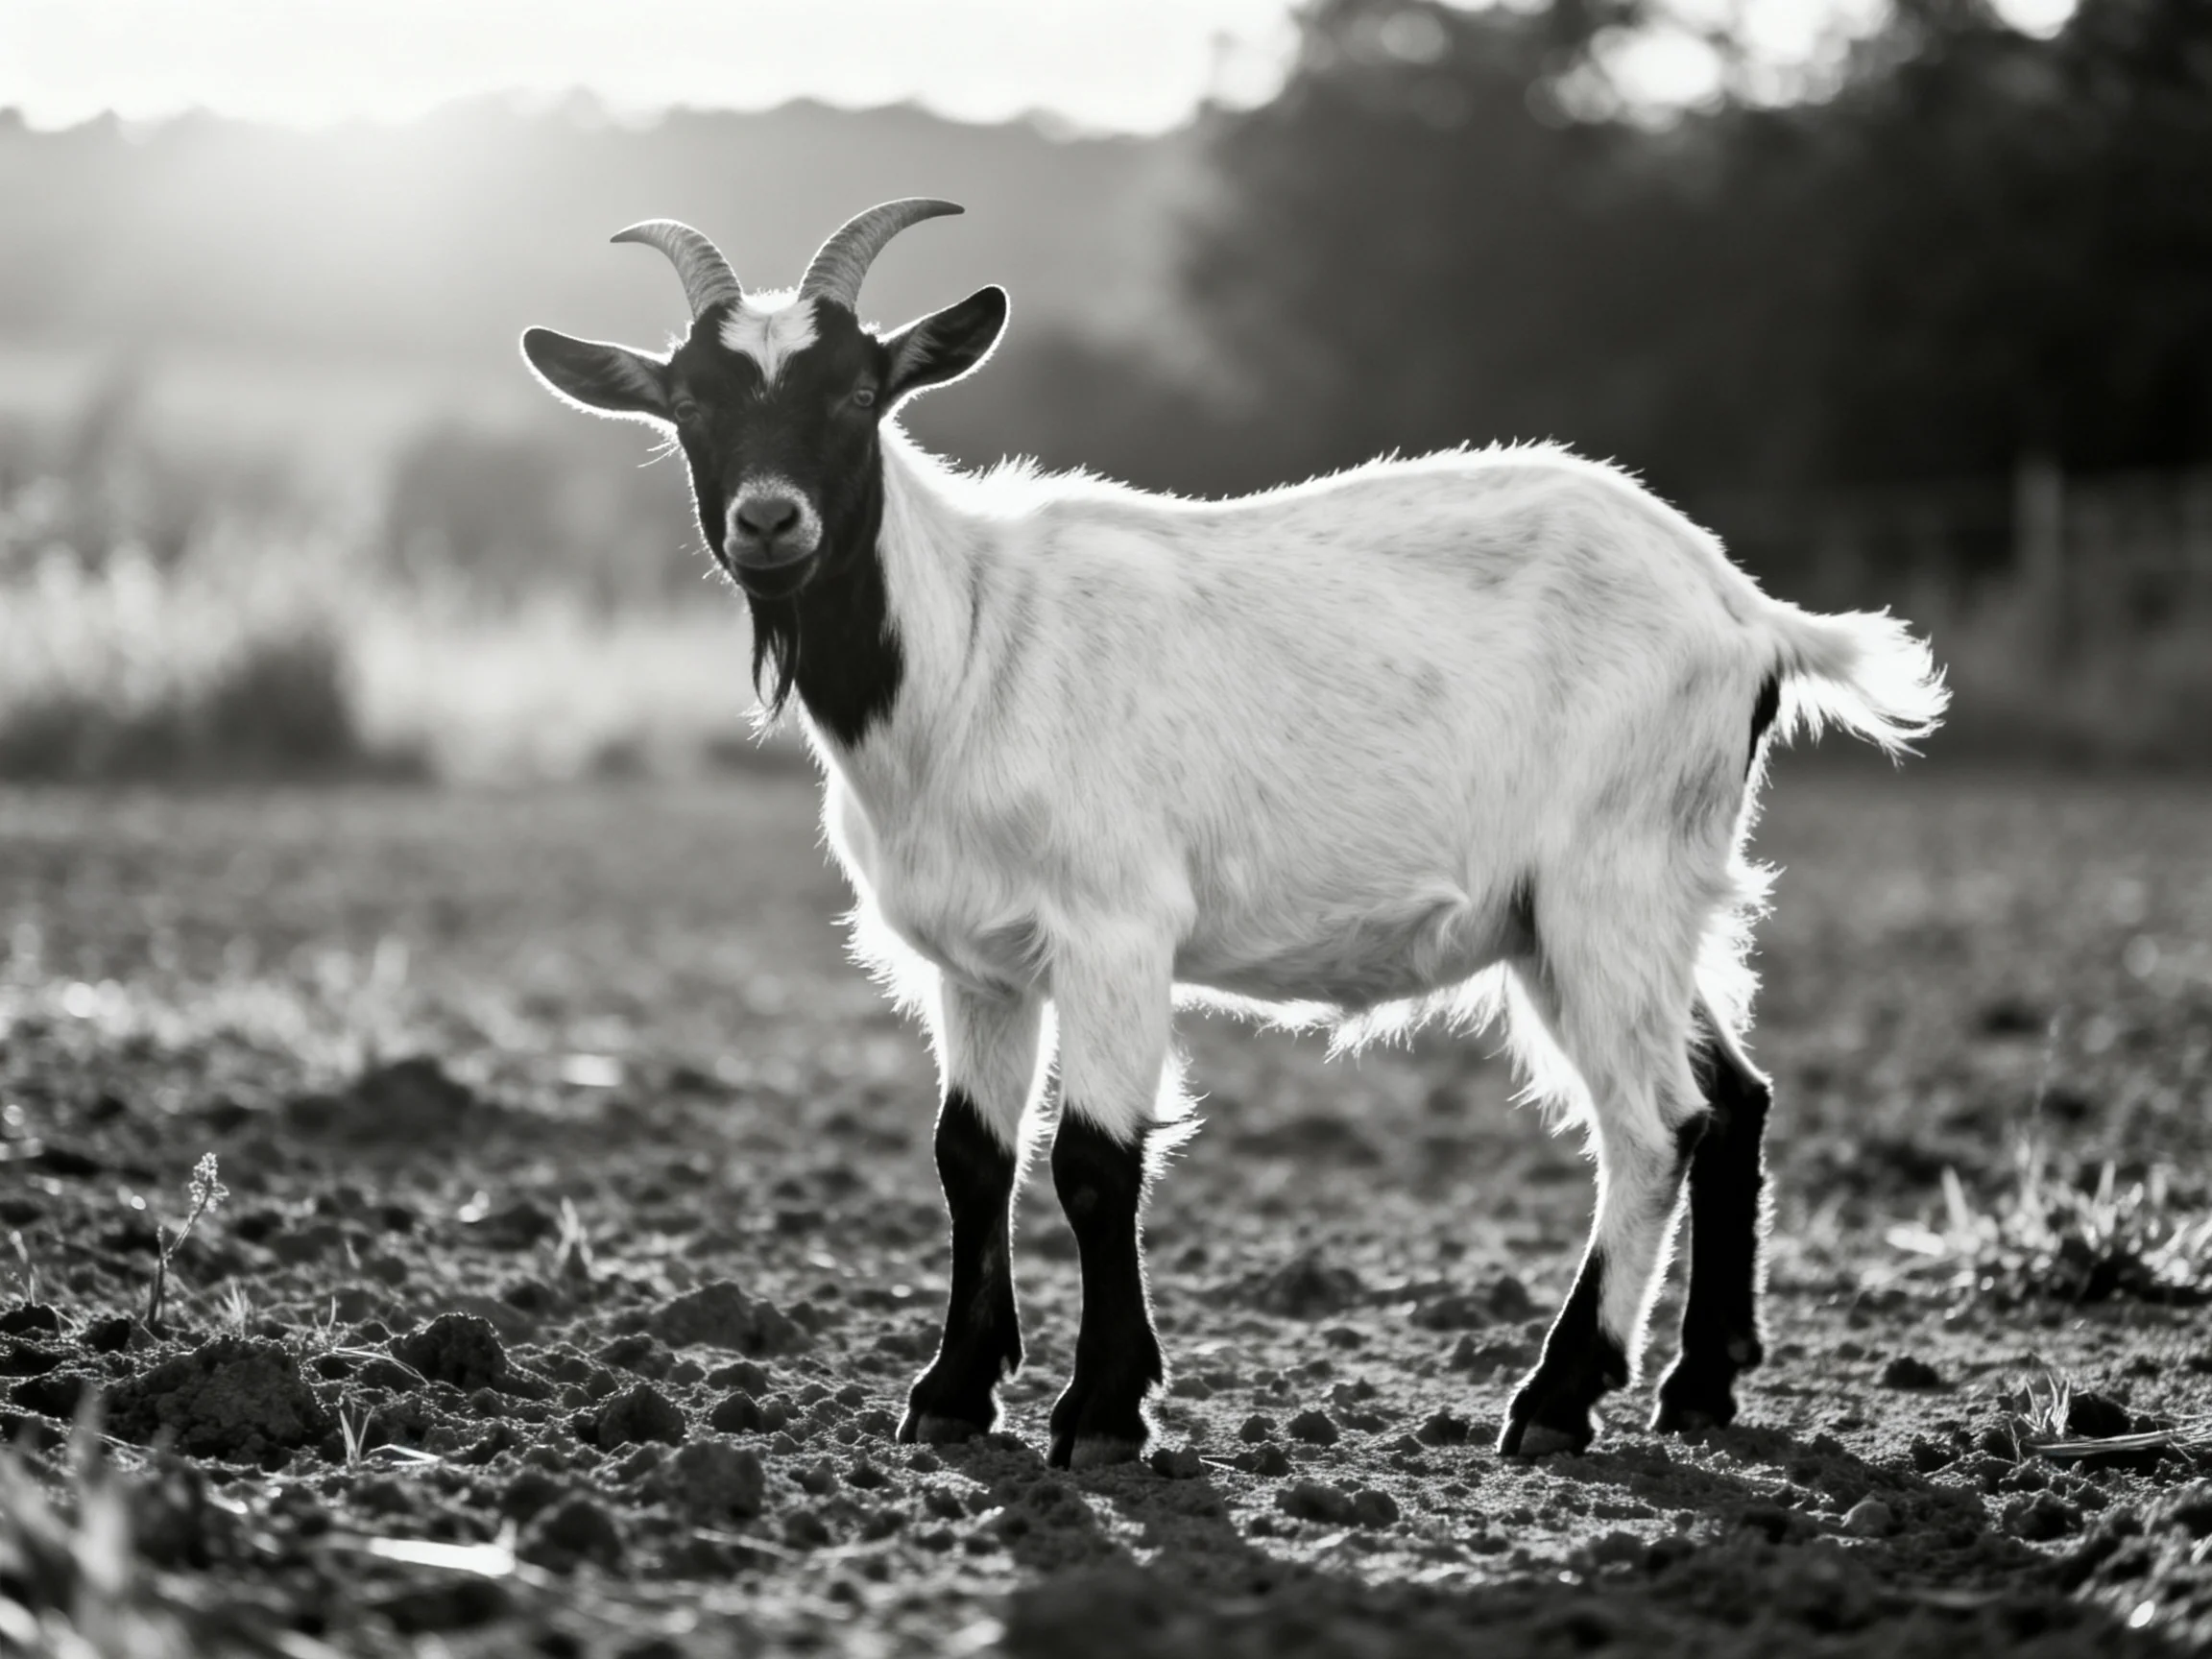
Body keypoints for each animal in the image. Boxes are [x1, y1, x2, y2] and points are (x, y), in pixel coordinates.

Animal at [522, 200, 1947, 1468]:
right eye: (689, 403)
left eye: (860, 391)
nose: (770, 522)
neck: (966, 645)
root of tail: (1746, 612)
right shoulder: (977, 964)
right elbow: (970, 1159)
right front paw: (952, 1394)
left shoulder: (1114, 928)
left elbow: (1094, 1164)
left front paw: (1102, 1414)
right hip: (1604, 909)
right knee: (1736, 1097)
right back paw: (1702, 1384)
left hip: (1611, 885)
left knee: (1656, 1126)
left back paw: (1559, 1399)